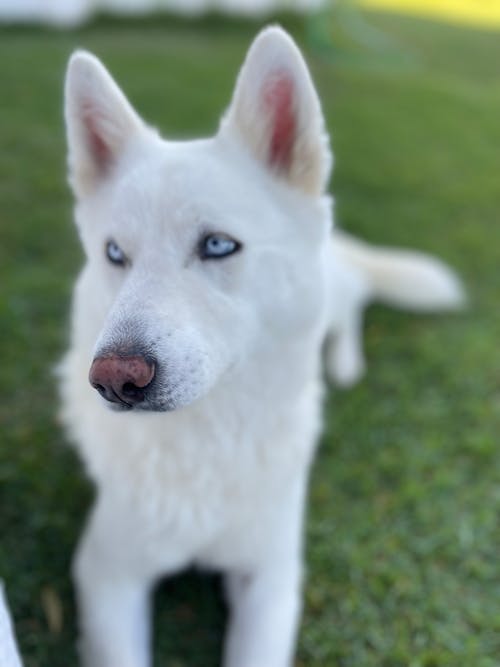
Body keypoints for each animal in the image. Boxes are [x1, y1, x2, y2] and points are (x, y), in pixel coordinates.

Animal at [59, 26, 464, 667]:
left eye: (218, 244)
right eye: (114, 254)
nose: (115, 380)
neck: (208, 442)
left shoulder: (271, 579)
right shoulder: (108, 574)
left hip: (337, 288)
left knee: (352, 304)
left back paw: (344, 362)